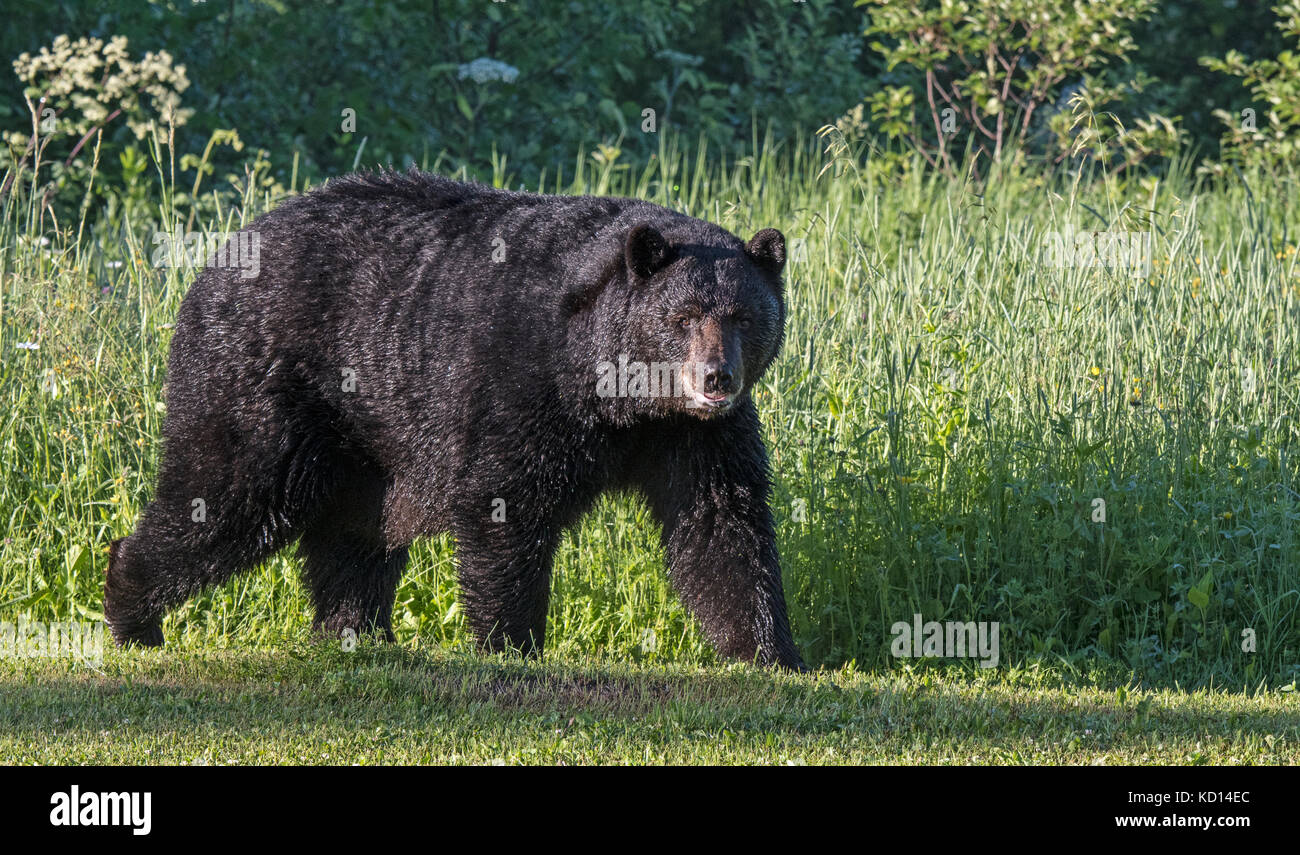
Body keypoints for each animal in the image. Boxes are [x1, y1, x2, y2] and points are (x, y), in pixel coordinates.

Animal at [104, 169, 805, 670]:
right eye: (683, 317)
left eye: (743, 315)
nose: (716, 378)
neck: (618, 395)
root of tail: (219, 257)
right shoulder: (520, 383)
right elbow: (506, 505)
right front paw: (511, 643)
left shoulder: (695, 434)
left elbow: (721, 524)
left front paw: (771, 652)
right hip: (263, 383)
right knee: (226, 495)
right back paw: (131, 610)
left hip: (365, 437)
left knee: (353, 532)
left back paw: (354, 630)